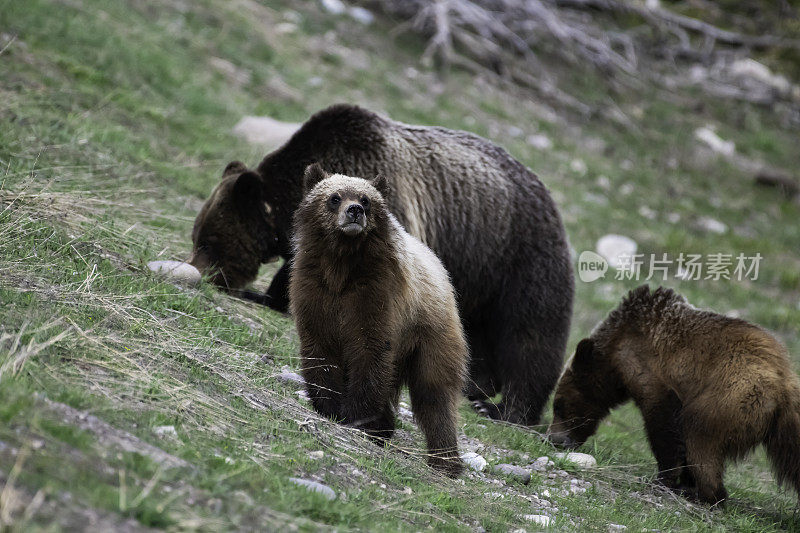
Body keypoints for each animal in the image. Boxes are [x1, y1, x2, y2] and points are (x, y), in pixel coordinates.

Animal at [189, 104, 576, 424]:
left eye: (208, 241)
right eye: (198, 236)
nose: (198, 270)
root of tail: (547, 194)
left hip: (517, 256)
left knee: (531, 335)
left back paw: (502, 408)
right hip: (475, 278)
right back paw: (474, 386)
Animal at [290, 164, 466, 476]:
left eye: (366, 198)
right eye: (335, 197)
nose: (355, 211)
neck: (340, 266)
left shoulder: (375, 294)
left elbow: (369, 349)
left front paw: (357, 416)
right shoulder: (315, 291)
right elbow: (320, 348)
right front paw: (331, 406)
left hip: (431, 331)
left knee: (435, 391)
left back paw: (445, 459)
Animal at [548, 284, 800, 504]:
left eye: (558, 405)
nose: (553, 439)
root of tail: (783, 383)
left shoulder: (650, 372)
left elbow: (664, 425)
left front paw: (665, 478)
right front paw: (681, 479)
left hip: (730, 396)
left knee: (700, 437)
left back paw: (704, 494)